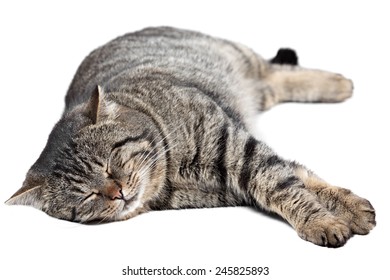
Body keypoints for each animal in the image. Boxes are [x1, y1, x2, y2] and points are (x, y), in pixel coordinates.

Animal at [6, 26, 376, 247]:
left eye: (110, 164)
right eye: (87, 195)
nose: (118, 192)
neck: (173, 173)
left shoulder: (240, 148)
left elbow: (286, 184)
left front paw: (330, 216)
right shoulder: (240, 177)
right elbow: (297, 180)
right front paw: (340, 214)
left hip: (238, 57)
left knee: (275, 69)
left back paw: (338, 84)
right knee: (273, 82)